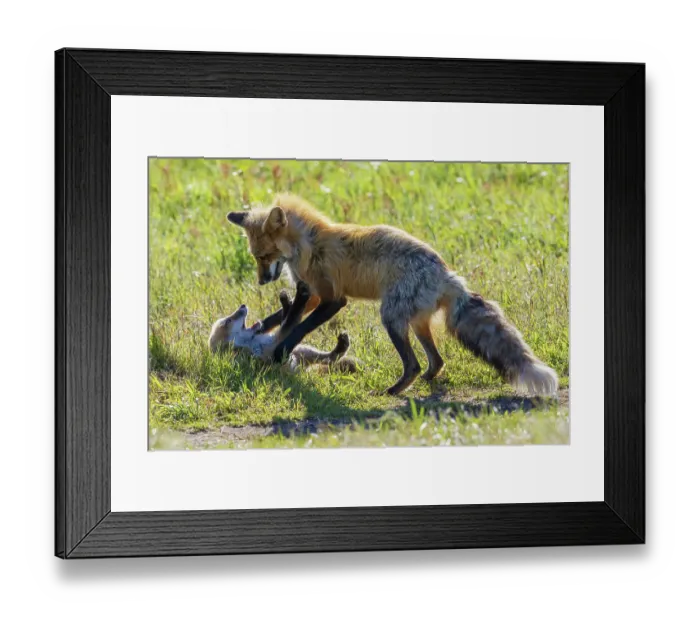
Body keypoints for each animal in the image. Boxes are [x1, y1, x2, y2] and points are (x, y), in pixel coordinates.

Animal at [209, 281, 359, 373]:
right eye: (228, 321)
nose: (242, 306)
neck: (252, 343)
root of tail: (302, 370)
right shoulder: (275, 346)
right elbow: (291, 319)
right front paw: (300, 297)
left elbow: (284, 318)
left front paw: (287, 301)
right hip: (299, 351)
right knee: (331, 358)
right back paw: (342, 345)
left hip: (303, 350)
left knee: (330, 357)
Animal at [226, 193, 558, 396]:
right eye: (255, 256)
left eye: (264, 256)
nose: (261, 281)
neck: (309, 245)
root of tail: (448, 275)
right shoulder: (312, 293)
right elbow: (286, 319)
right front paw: (268, 336)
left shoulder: (333, 298)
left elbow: (299, 328)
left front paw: (279, 353)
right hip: (416, 323)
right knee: (436, 361)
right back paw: (426, 381)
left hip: (391, 317)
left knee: (413, 363)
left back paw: (394, 391)